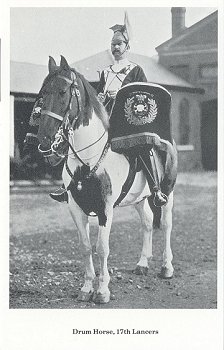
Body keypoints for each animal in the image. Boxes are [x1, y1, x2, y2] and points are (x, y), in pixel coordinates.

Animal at [33, 56, 177, 302]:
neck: (88, 159)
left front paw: (102, 290)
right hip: (138, 198)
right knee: (147, 222)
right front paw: (85, 288)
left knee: (166, 224)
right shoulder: (75, 207)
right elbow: (85, 246)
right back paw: (142, 264)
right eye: (43, 92)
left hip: (168, 191)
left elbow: (102, 248)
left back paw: (166, 267)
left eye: (62, 92)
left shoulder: (105, 209)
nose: (44, 139)